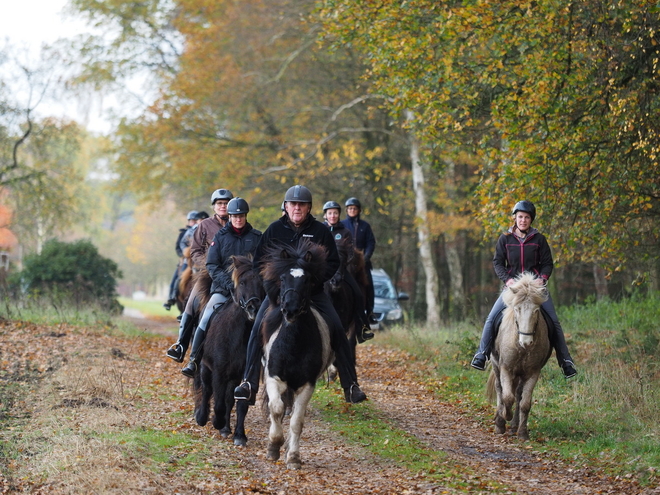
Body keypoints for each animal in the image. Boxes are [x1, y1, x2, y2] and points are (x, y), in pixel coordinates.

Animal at [191, 258, 262, 448]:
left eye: (261, 282)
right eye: (242, 282)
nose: (254, 308)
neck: (239, 333)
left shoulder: (243, 375)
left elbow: (238, 403)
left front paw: (239, 435)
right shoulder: (219, 371)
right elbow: (218, 401)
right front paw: (217, 421)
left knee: (228, 399)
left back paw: (225, 428)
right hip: (204, 366)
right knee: (207, 389)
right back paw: (203, 418)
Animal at [260, 240, 336, 468]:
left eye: (308, 280)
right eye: (283, 278)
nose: (290, 310)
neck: (293, 344)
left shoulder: (307, 384)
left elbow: (296, 420)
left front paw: (293, 457)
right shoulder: (273, 377)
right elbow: (276, 408)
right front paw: (274, 446)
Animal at [484, 274, 552, 440]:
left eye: (536, 310)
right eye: (517, 309)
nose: (526, 342)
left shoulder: (533, 372)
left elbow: (524, 403)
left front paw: (522, 433)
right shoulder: (506, 368)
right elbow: (507, 397)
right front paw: (503, 418)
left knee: (518, 393)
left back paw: (514, 426)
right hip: (496, 365)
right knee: (500, 390)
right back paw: (500, 421)